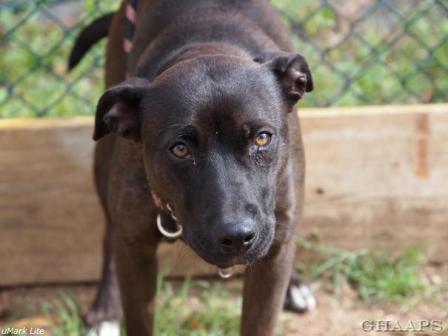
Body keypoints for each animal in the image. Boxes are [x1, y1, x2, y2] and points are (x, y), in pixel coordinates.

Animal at [69, 1, 316, 334]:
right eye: (180, 149)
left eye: (262, 138)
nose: (237, 236)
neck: (206, 44)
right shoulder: (135, 251)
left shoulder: (273, 254)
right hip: (104, 159)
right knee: (109, 234)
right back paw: (105, 309)